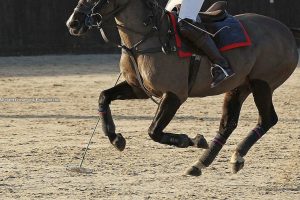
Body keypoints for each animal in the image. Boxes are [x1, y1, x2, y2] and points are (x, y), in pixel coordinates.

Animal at [67, 0, 298, 176]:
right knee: (228, 124)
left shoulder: (174, 94)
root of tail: (286, 30)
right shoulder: (138, 89)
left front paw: (192, 140)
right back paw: (200, 165)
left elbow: (154, 132)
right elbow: (103, 97)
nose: (73, 23)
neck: (144, 39)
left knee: (267, 119)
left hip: (262, 82)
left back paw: (235, 157)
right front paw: (115, 138)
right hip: (238, 86)